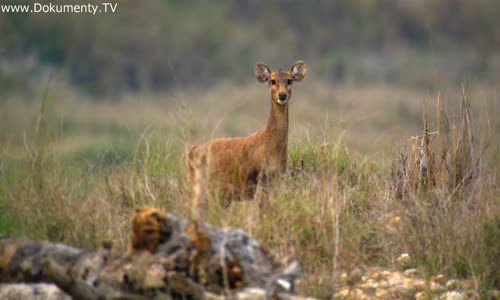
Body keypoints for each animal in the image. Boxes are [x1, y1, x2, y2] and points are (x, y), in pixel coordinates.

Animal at [186, 61, 306, 202]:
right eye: (272, 80)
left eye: (290, 80)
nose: (282, 95)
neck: (270, 152)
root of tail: (192, 150)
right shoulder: (246, 177)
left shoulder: (276, 177)